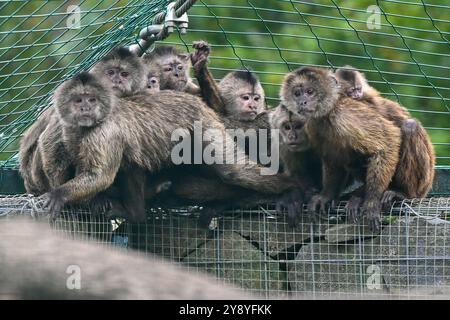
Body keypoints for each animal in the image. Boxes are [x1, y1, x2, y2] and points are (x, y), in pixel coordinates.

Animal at [38, 72, 296, 222]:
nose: (85, 109)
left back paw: (290, 186)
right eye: (78, 100)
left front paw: (60, 194)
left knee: (232, 171)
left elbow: (100, 176)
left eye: (91, 100)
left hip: (202, 124)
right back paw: (137, 213)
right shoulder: (68, 127)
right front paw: (89, 199)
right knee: (132, 162)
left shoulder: (105, 132)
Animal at [280, 66, 402, 231]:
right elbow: (331, 157)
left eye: (310, 91)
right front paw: (326, 196)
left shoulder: (344, 114)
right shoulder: (312, 124)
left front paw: (372, 200)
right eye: (297, 94)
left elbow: (387, 141)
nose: (302, 102)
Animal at [334, 67, 436, 208]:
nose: (357, 95)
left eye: (358, 89)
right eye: (351, 91)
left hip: (424, 180)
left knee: (410, 126)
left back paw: (404, 192)